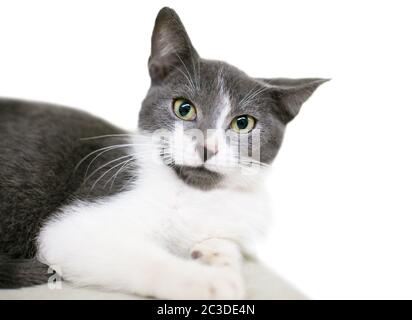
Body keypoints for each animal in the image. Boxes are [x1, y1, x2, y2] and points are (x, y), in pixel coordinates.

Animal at [0, 6, 328, 298]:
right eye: (184, 108)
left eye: (243, 123)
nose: (207, 146)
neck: (199, 194)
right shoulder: (77, 223)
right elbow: (143, 259)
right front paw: (211, 281)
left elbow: (227, 244)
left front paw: (216, 256)